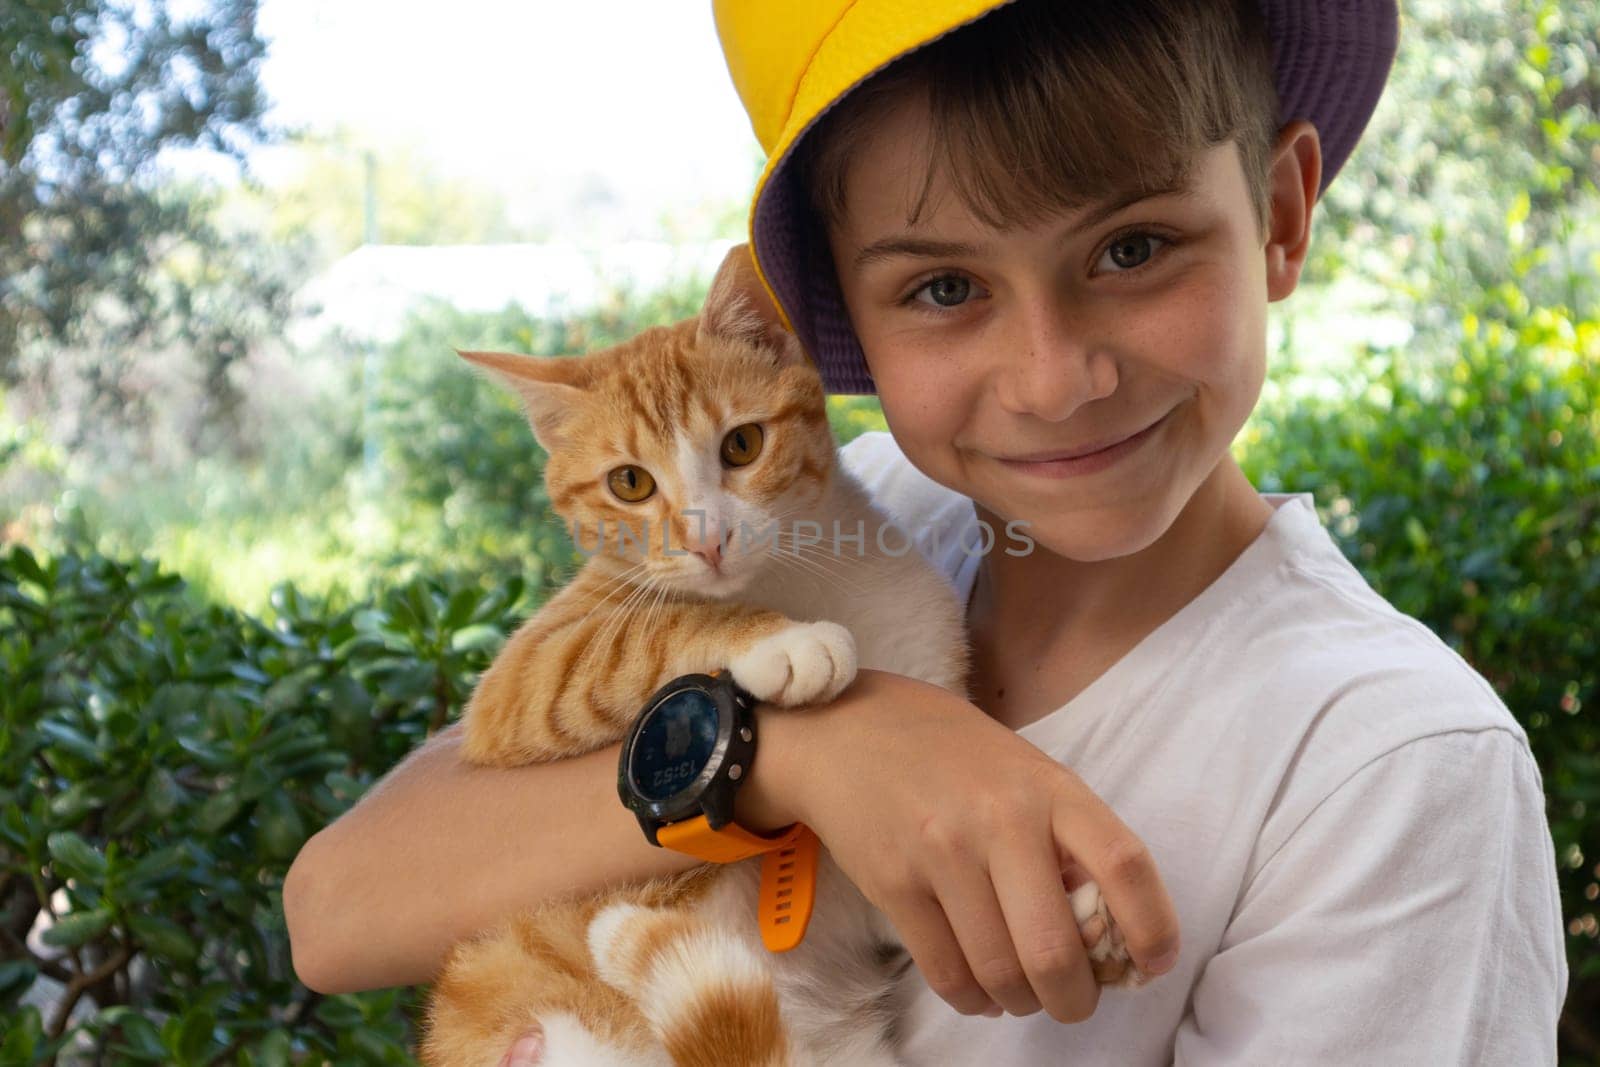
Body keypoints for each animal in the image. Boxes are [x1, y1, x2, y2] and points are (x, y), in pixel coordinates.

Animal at [412, 247, 1139, 1067]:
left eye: (742, 444)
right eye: (629, 482)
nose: (707, 539)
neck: (790, 580)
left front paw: (1073, 917)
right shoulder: (521, 678)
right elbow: (645, 632)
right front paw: (782, 639)